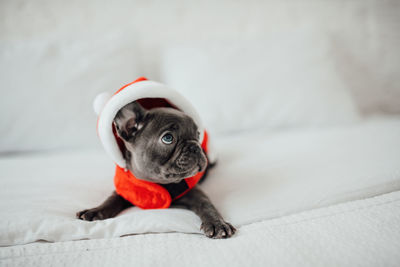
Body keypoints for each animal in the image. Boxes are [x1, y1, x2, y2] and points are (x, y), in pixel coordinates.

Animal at [76, 101, 236, 240]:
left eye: (197, 135)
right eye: (168, 138)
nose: (195, 147)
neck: (157, 184)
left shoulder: (195, 191)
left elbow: (206, 205)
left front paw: (217, 224)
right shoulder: (126, 189)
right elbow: (111, 200)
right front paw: (94, 211)